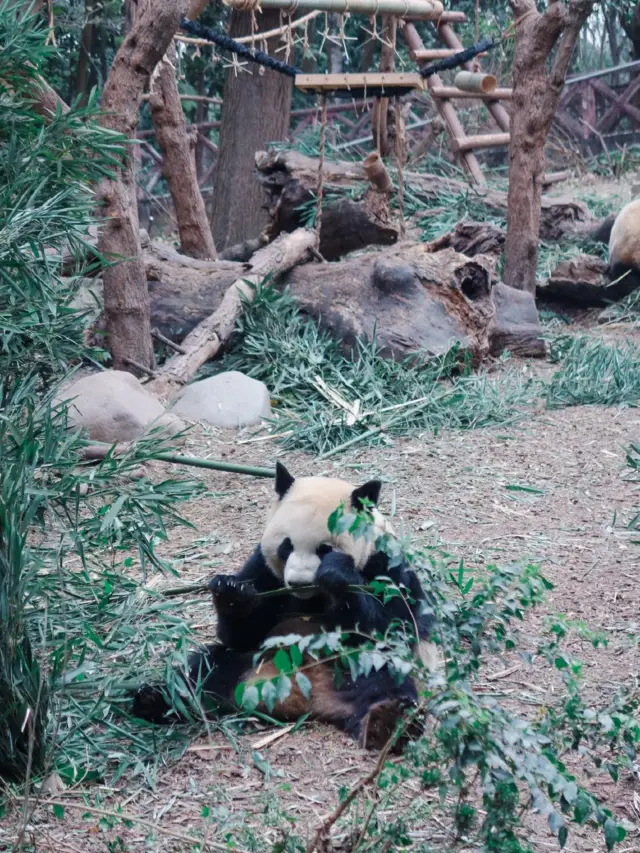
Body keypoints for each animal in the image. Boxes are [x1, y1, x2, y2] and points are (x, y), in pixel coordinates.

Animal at [132, 462, 438, 748]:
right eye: (286, 546)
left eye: (324, 549)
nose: (299, 582)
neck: (311, 598)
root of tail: (301, 698)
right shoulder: (263, 569)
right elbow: (241, 633)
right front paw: (231, 591)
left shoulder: (385, 560)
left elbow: (399, 624)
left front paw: (337, 574)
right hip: (250, 661)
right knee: (204, 672)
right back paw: (156, 699)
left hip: (356, 668)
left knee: (386, 678)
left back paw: (387, 724)